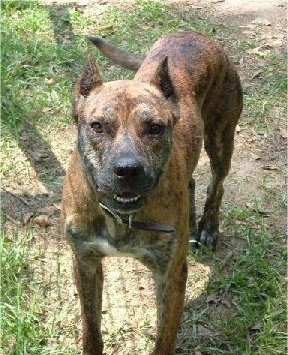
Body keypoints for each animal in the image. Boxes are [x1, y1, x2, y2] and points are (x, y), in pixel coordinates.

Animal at [61, 32, 243, 354]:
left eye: (155, 128)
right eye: (97, 126)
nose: (127, 169)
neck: (120, 217)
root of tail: (192, 34)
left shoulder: (170, 275)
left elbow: (164, 338)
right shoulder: (85, 263)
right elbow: (91, 329)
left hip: (221, 139)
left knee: (216, 185)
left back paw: (208, 227)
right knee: (191, 183)